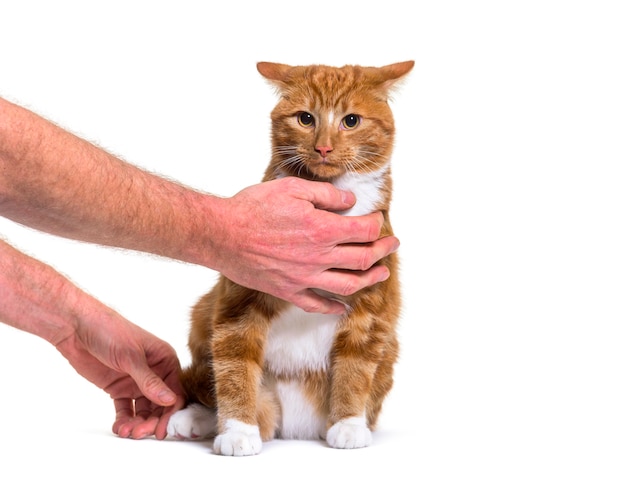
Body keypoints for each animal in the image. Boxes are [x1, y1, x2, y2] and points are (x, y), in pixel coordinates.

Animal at [166, 59, 412, 456]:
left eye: (351, 120)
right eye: (305, 118)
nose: (323, 148)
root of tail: (297, 430)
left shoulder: (372, 306)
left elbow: (356, 365)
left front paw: (348, 424)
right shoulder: (239, 296)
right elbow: (235, 362)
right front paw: (237, 431)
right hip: (203, 316)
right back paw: (197, 419)